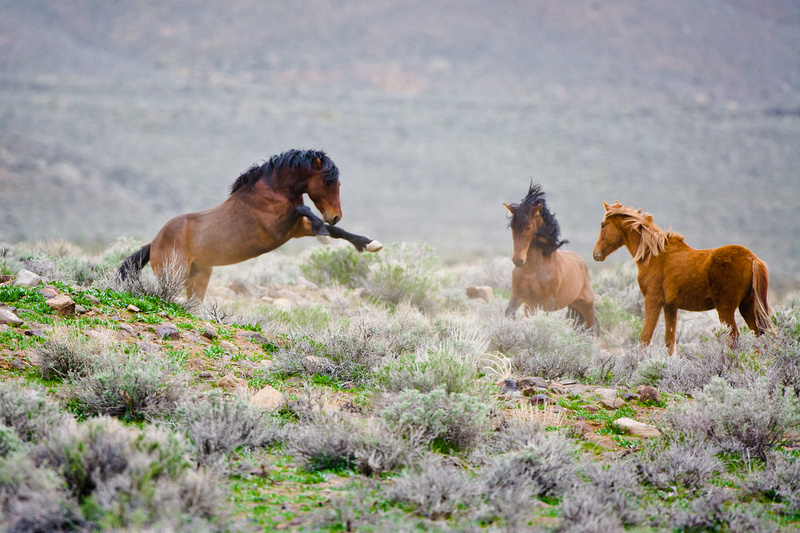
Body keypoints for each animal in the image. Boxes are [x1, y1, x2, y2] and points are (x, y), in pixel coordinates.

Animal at [117, 150, 382, 300]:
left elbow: (338, 232)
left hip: (198, 276)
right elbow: (305, 210)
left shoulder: (295, 230)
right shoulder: (278, 229)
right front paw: (324, 233)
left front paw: (368, 244)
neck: (273, 190)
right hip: (174, 274)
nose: (335, 215)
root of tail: (154, 243)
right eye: (328, 182)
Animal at [506, 184, 592, 328]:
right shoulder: (518, 297)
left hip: (586, 306)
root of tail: (583, 263)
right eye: (512, 226)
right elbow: (509, 314)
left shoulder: (547, 304)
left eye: (529, 227)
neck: (532, 271)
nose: (518, 260)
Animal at [592, 200, 772, 354]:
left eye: (602, 225)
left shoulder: (652, 301)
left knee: (734, 339)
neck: (653, 254)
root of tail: (753, 259)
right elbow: (669, 341)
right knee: (759, 336)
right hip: (747, 306)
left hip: (725, 309)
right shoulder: (670, 307)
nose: (596, 254)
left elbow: (645, 339)